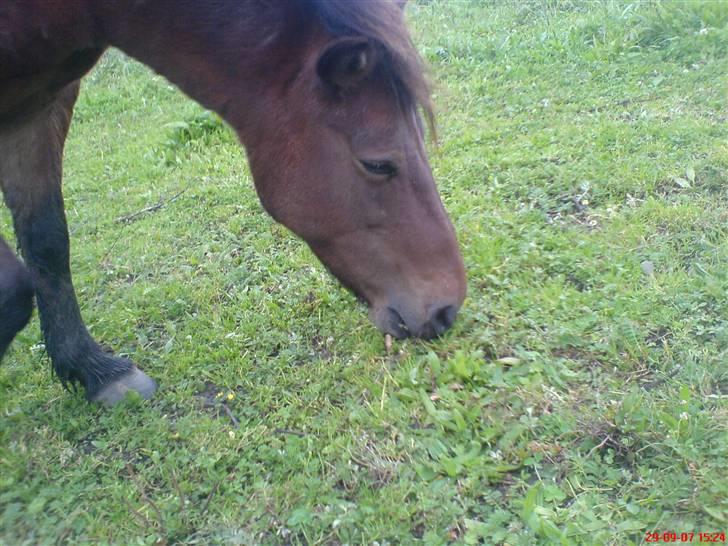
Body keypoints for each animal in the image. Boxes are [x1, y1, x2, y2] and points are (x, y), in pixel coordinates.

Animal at [0, 1, 466, 404]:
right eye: (377, 164)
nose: (447, 309)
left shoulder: (40, 105)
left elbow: (47, 242)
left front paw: (91, 370)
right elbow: (15, 288)